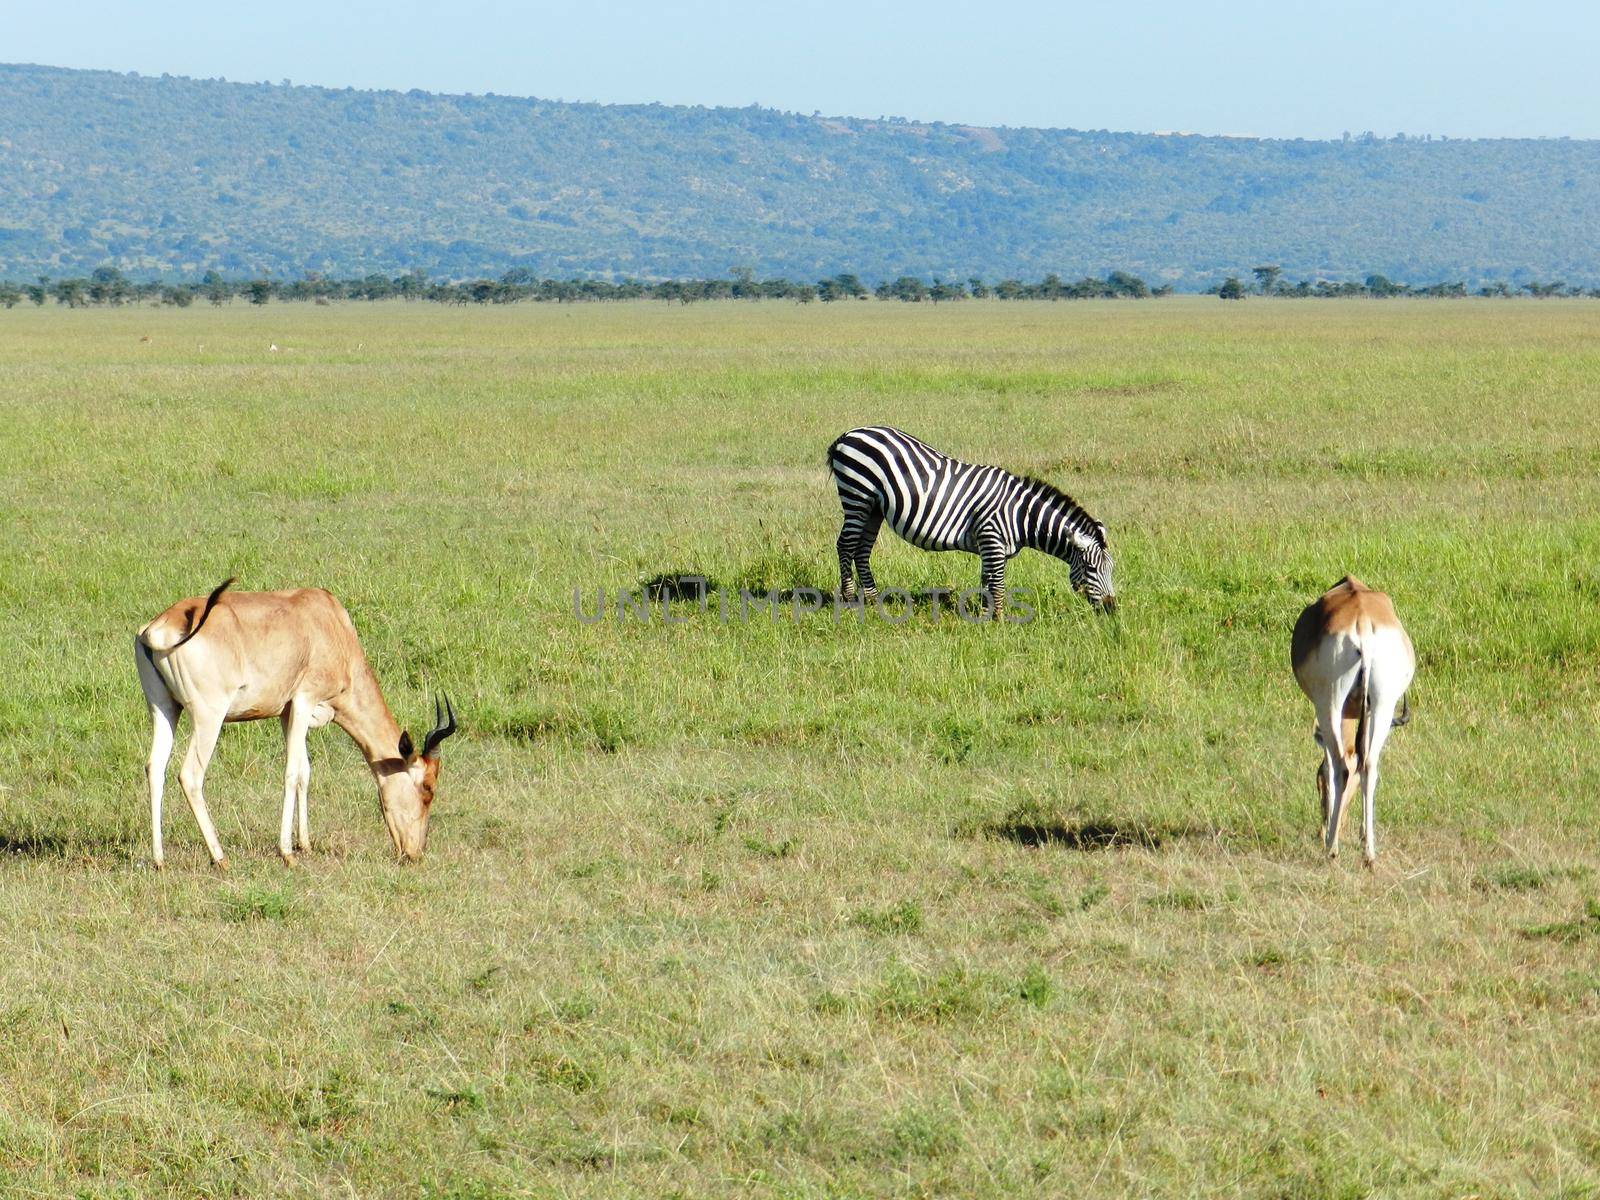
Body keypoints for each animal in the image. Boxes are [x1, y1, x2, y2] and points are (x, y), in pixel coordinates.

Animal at [132, 579, 460, 870]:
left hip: (163, 707)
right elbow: (291, 773)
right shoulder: (304, 701)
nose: (414, 853)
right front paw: (287, 854)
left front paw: (305, 844)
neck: (328, 621)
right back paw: (220, 858)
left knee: (155, 767)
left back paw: (160, 860)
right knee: (190, 775)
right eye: (428, 788)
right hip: (209, 715)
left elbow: (305, 771)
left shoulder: (286, 713)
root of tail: (163, 627)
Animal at [832, 428, 1120, 620]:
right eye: (1091, 569)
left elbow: (987, 579)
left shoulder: (989, 544)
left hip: (873, 509)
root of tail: (848, 435)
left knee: (862, 550)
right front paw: (999, 619)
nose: (1112, 608)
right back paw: (849, 599)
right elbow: (998, 583)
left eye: (1111, 570)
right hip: (857, 497)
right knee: (845, 545)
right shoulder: (991, 537)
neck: (1020, 514)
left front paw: (983, 614)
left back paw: (871, 599)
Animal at [1292, 579, 1420, 870]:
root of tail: (1361, 621)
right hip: (1384, 703)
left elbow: (1328, 765)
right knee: (1369, 764)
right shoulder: (1370, 710)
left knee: (1340, 765)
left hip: (1329, 703)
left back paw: (1332, 848)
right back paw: (1368, 854)